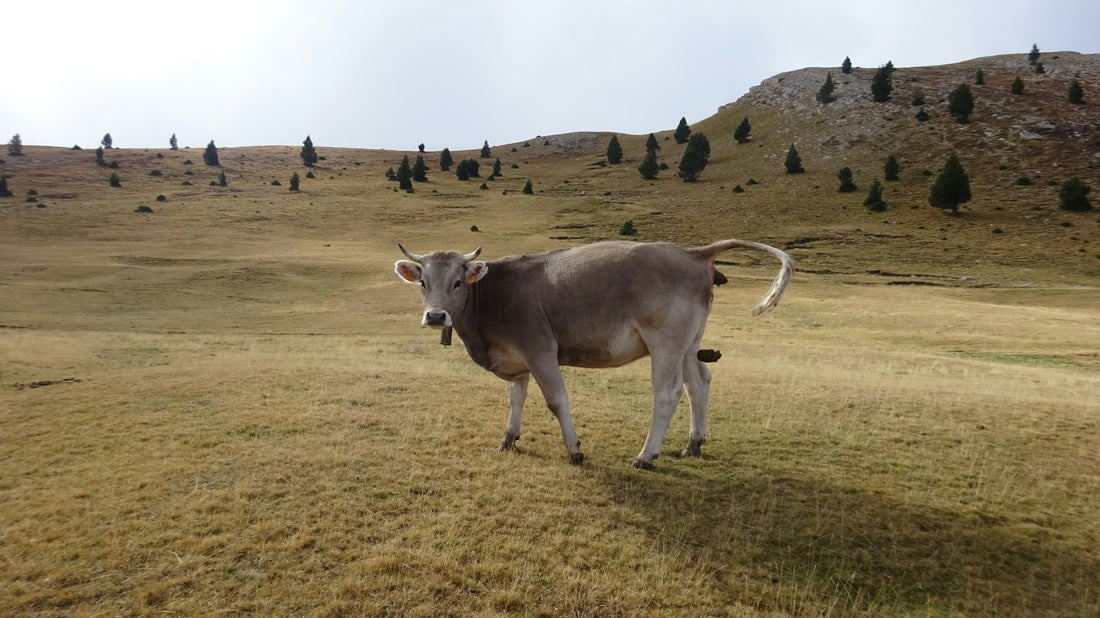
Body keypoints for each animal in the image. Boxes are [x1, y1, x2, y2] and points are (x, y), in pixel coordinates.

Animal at [396, 236, 792, 466]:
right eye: (423, 282)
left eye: (457, 282)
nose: (436, 315)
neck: (493, 296)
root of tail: (692, 253)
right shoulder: (516, 357)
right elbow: (516, 397)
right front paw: (509, 438)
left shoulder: (540, 349)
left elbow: (557, 400)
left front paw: (574, 449)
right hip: (689, 343)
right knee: (700, 383)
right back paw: (693, 444)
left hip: (665, 341)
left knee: (668, 393)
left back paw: (646, 455)